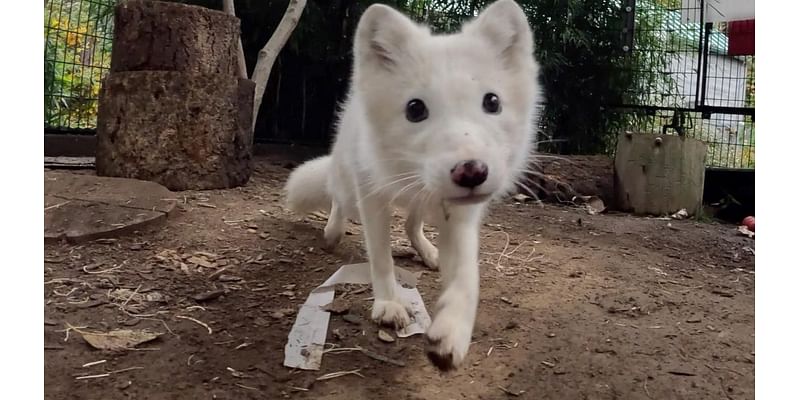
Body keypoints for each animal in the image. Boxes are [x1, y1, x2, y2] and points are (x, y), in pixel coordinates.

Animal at [284, 0, 540, 368]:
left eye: (492, 102)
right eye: (415, 109)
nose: (472, 172)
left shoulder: (462, 216)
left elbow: (468, 277)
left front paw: (452, 331)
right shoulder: (371, 195)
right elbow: (380, 257)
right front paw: (389, 304)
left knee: (410, 224)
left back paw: (428, 252)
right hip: (349, 186)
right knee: (337, 198)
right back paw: (332, 232)